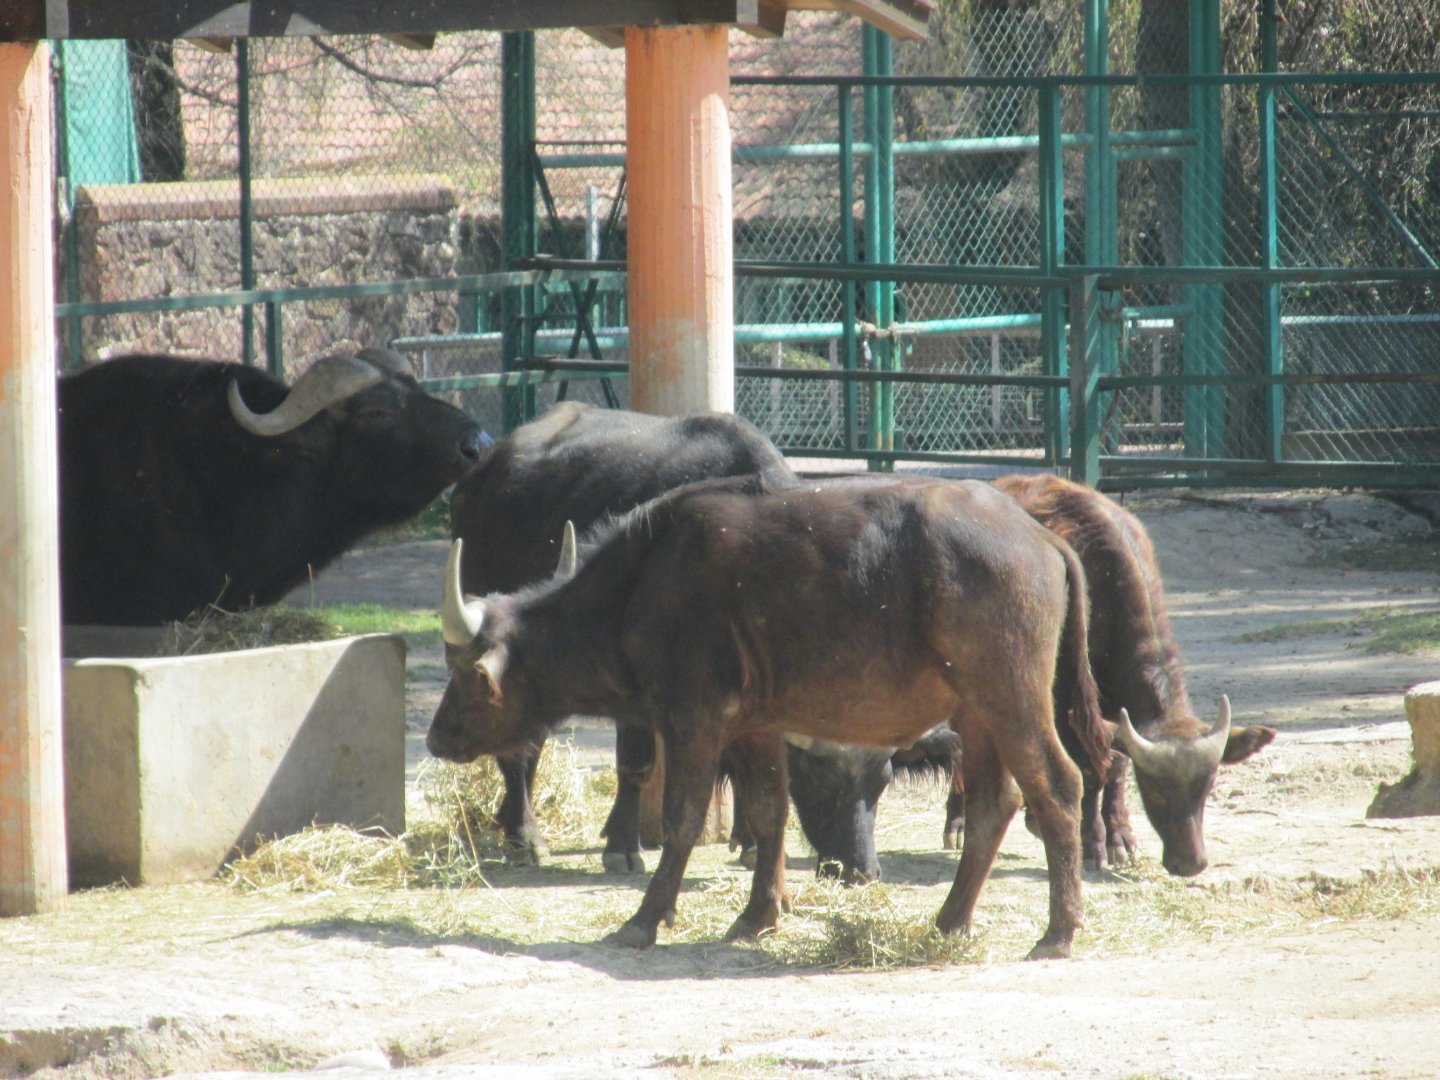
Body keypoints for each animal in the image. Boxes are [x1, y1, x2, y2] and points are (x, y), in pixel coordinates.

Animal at [429, 475, 1113, 959]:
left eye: (465, 674)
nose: (436, 738)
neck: (641, 584)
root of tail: (1042, 538)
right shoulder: (755, 727)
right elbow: (767, 813)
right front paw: (759, 914)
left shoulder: (694, 719)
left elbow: (681, 818)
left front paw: (646, 918)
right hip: (975, 714)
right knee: (995, 804)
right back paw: (950, 921)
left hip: (1012, 698)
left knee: (1059, 785)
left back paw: (1058, 933)